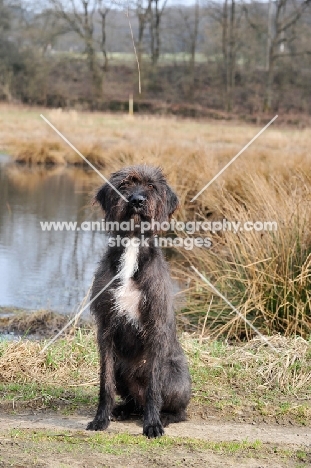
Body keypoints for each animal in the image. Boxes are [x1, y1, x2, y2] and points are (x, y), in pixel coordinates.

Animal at [86, 165, 191, 438]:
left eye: (152, 186)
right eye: (124, 184)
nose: (137, 200)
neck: (133, 243)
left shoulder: (155, 327)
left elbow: (154, 387)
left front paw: (152, 424)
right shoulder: (106, 328)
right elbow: (105, 383)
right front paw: (100, 419)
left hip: (175, 378)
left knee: (177, 410)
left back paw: (164, 417)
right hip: (122, 370)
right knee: (133, 401)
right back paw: (122, 410)